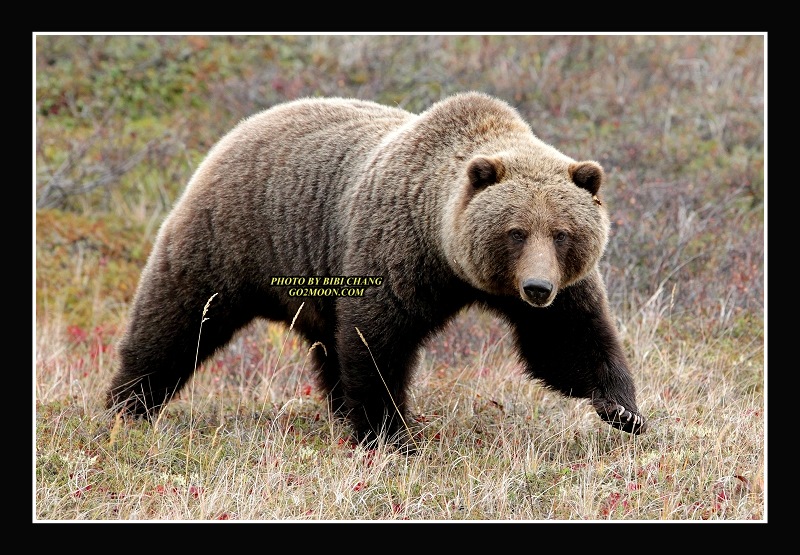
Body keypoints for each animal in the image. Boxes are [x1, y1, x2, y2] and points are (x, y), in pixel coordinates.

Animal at [106, 91, 647, 447]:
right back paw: (127, 405)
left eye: (561, 233)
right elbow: (376, 341)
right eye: (515, 231)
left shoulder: (558, 286)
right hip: (232, 238)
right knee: (177, 320)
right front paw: (391, 434)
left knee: (325, 346)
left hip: (312, 278)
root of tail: (239, 128)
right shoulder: (394, 251)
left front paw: (624, 411)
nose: (537, 287)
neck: (446, 257)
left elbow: (568, 340)